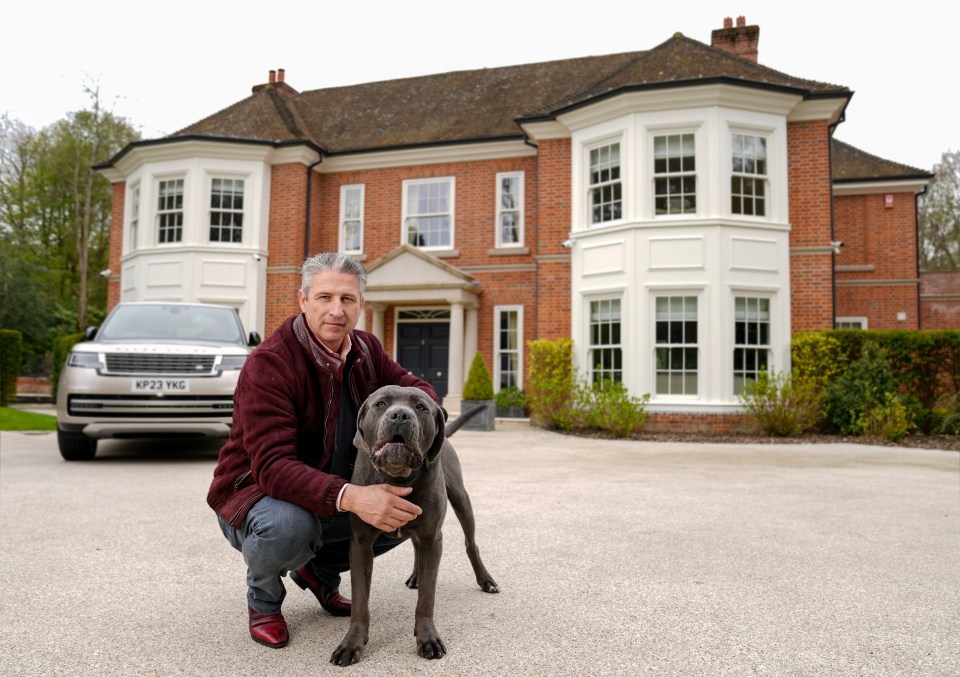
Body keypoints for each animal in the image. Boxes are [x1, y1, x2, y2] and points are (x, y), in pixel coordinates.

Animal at [330, 382, 498, 664]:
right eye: (381, 404)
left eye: (420, 407)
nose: (400, 415)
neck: (398, 478)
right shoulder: (361, 543)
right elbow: (360, 600)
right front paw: (351, 643)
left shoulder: (433, 537)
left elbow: (426, 599)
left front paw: (428, 639)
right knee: (417, 546)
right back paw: (416, 576)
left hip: (461, 499)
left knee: (470, 543)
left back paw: (486, 580)